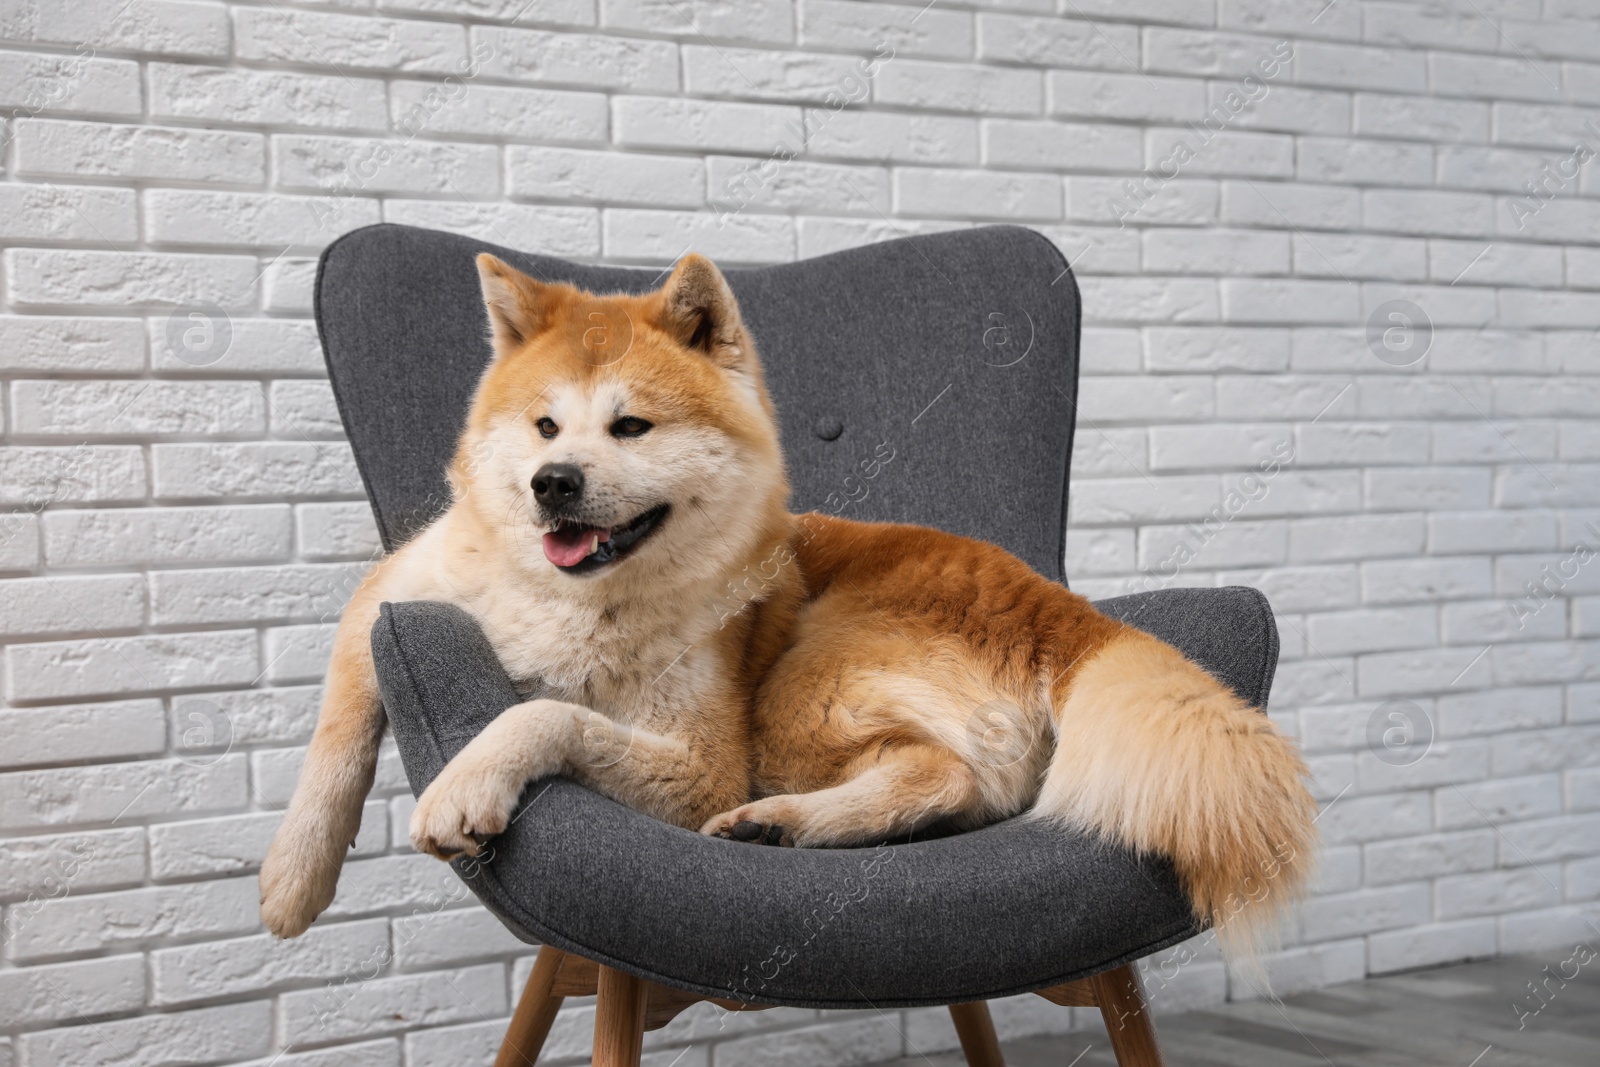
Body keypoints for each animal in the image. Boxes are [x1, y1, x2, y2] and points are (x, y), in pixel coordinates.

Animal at [259, 252, 1312, 959]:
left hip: (800, 685)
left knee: (942, 775)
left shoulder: (704, 763)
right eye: (545, 425)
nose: (552, 483)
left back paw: (783, 822)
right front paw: (292, 879)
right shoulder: (393, 598)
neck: (576, 602)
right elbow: (337, 730)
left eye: (630, 425)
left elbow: (541, 712)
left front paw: (465, 780)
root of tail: (1064, 607)